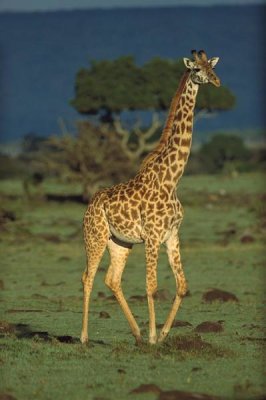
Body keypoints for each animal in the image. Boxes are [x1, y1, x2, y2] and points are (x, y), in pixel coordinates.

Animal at [80, 49, 220, 344]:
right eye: (196, 69)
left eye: (211, 67)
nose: (215, 81)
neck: (172, 179)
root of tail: (89, 205)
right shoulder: (153, 237)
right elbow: (152, 286)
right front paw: (155, 337)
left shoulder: (172, 235)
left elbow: (182, 285)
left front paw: (163, 334)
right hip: (94, 237)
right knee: (88, 277)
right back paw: (84, 337)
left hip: (120, 242)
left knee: (112, 279)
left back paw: (136, 334)